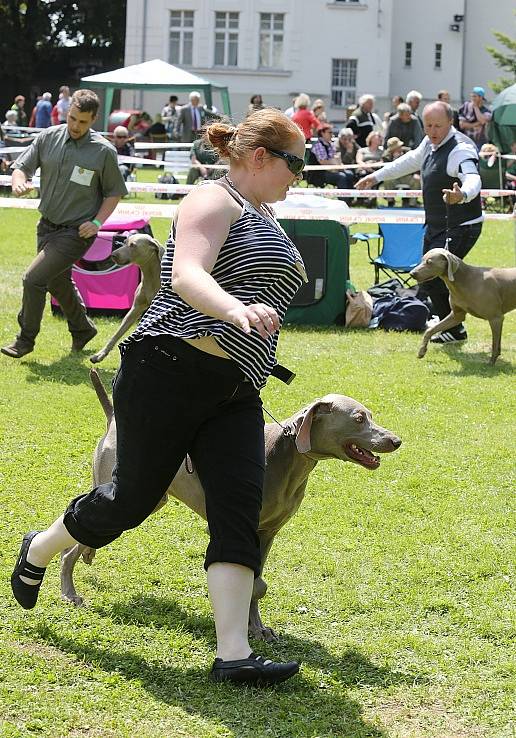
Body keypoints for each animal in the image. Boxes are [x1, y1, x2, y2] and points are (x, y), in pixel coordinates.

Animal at [61, 368, 404, 640]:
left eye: (371, 415)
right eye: (358, 418)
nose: (397, 440)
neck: (288, 458)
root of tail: (113, 419)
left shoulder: (267, 533)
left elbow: (256, 584)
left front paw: (257, 628)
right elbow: (251, 582)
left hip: (153, 498)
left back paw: (87, 555)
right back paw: (69, 591)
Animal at [88, 234, 164, 364]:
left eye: (133, 245)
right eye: (124, 241)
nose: (113, 254)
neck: (151, 277)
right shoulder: (135, 308)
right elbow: (117, 333)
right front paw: (100, 354)